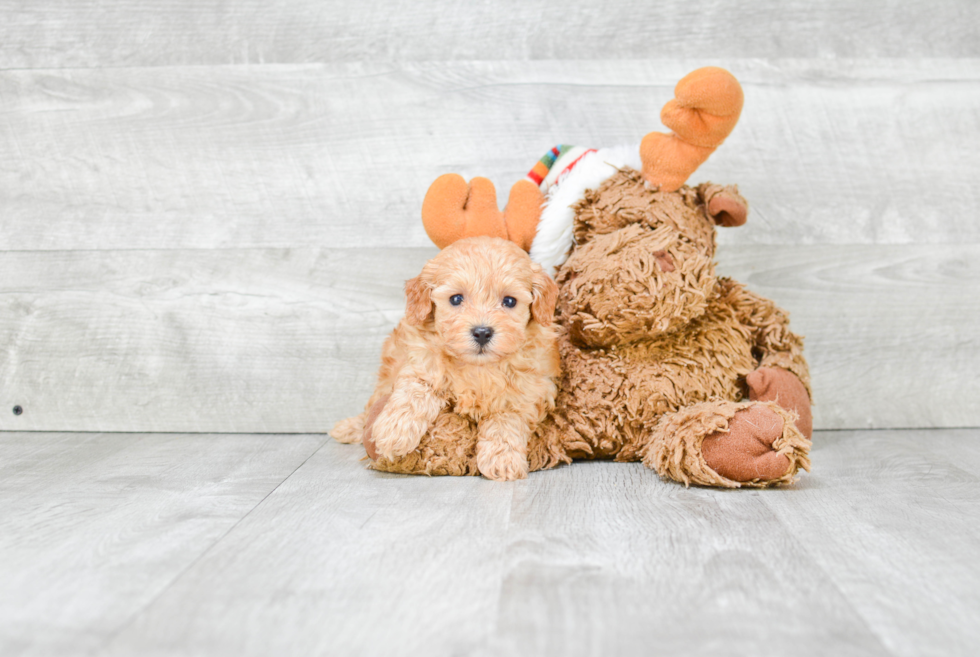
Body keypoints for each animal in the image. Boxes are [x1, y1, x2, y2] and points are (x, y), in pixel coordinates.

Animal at [332, 237, 556, 482]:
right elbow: (416, 391)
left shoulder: (525, 394)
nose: (482, 332)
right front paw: (395, 430)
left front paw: (503, 459)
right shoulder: (421, 361)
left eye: (509, 301)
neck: (477, 367)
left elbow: (506, 423)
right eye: (456, 299)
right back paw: (349, 427)